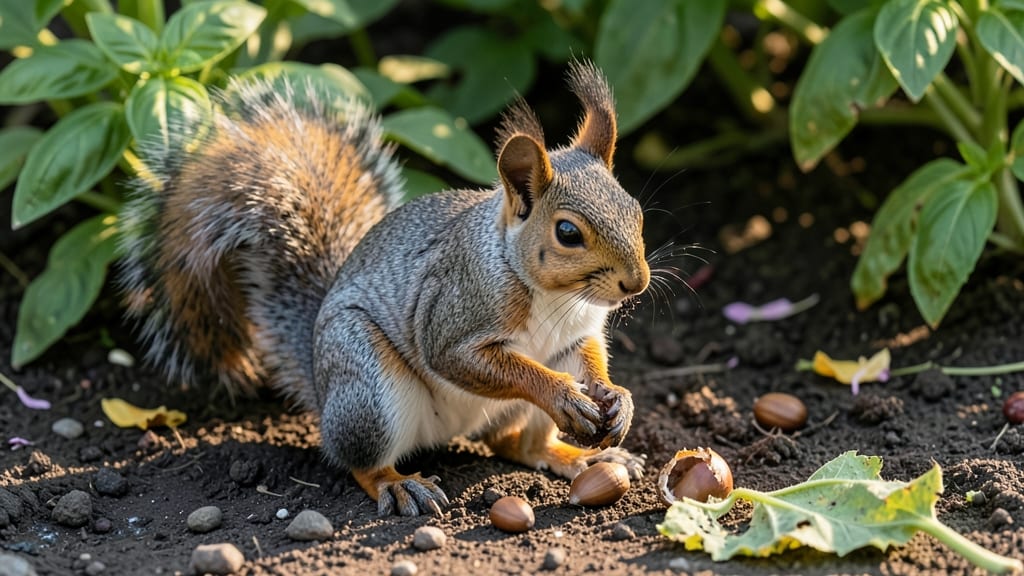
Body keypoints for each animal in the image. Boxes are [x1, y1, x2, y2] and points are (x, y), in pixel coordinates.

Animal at [117, 60, 651, 516]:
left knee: (517, 444)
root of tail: (321, 390)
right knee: (359, 461)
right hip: (369, 388)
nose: (637, 282)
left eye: (636, 209)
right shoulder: (452, 311)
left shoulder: (574, 335)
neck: (553, 295)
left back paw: (582, 458)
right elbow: (472, 361)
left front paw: (617, 397)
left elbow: (589, 359)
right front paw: (561, 393)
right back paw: (399, 485)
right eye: (568, 233)